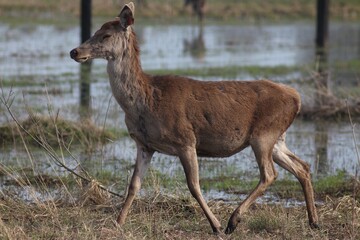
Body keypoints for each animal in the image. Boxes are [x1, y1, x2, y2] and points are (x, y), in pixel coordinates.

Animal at [69, 1, 318, 234]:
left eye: (106, 35)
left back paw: (233, 220)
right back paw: (313, 221)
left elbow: (194, 185)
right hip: (277, 138)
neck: (145, 102)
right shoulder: (144, 144)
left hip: (264, 133)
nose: (75, 51)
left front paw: (216, 225)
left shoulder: (185, 139)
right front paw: (118, 223)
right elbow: (134, 185)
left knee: (269, 174)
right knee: (302, 167)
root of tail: (296, 98)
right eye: (94, 30)